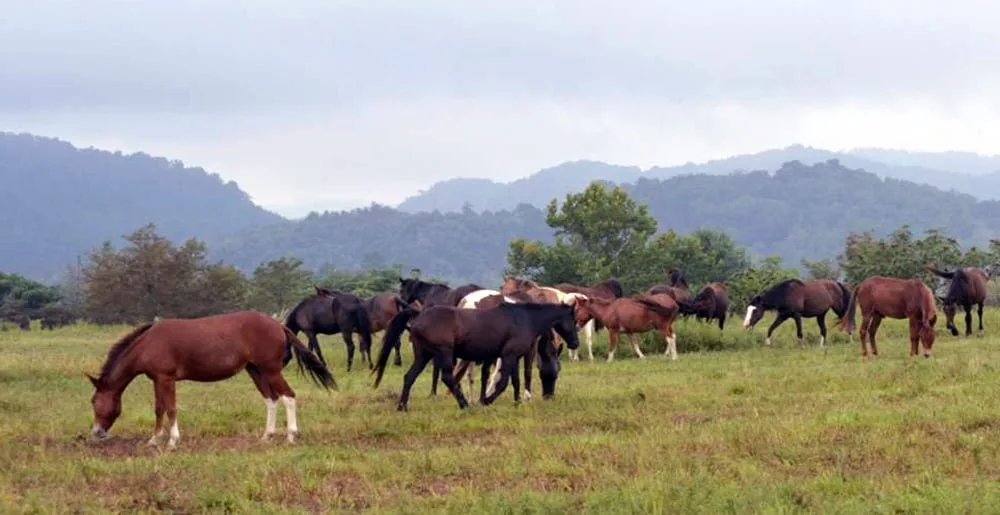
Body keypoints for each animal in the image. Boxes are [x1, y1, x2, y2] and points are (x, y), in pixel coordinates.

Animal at [87, 311, 336, 449]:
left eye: (94, 401)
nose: (97, 432)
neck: (149, 343)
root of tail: (279, 325)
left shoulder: (166, 379)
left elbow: (170, 408)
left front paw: (172, 441)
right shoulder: (157, 380)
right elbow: (159, 409)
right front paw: (154, 440)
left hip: (271, 370)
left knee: (288, 396)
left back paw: (291, 436)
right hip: (256, 371)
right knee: (271, 399)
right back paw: (267, 436)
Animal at [373, 303, 579, 411]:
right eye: (573, 321)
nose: (575, 343)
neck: (525, 320)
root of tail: (419, 314)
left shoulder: (513, 357)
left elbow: (515, 381)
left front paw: (517, 402)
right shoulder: (509, 356)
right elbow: (503, 382)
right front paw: (486, 400)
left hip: (423, 355)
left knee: (409, 376)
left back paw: (402, 406)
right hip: (443, 353)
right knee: (447, 377)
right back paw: (464, 404)